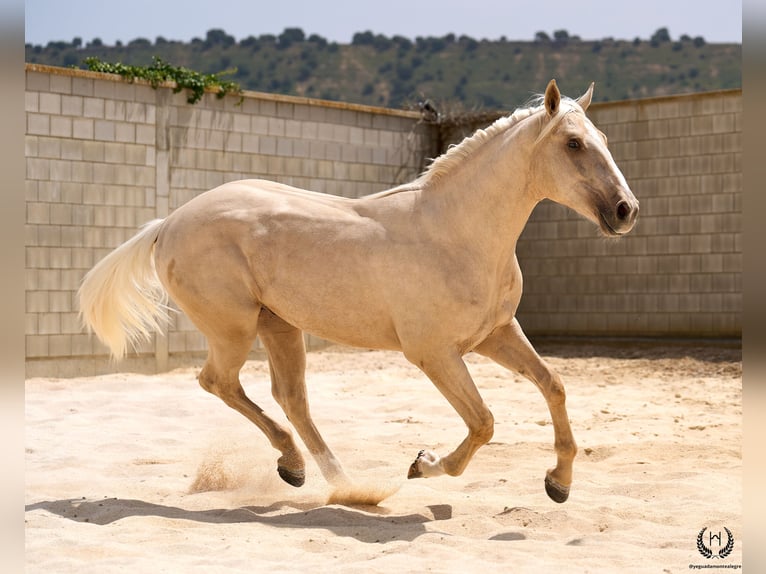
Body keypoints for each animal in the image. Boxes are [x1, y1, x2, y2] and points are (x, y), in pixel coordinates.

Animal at [78, 80, 638, 504]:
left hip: (279, 326)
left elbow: (554, 385)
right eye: (572, 144)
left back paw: (326, 479)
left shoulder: (495, 334)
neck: (455, 233)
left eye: (605, 136)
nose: (626, 211)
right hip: (233, 329)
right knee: (219, 383)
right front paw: (421, 465)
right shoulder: (434, 353)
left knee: (291, 399)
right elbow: (483, 422)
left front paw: (558, 484)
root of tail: (168, 223)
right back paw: (312, 472)